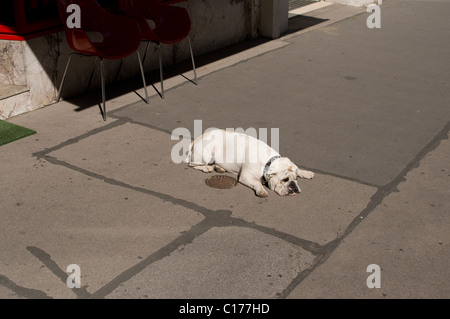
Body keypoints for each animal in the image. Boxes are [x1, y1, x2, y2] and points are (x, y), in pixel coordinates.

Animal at [183, 130, 312, 198]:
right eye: (284, 180)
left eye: (296, 179)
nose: (293, 185)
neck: (267, 162)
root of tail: (196, 139)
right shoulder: (246, 176)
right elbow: (257, 183)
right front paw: (261, 191)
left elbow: (298, 169)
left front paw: (305, 172)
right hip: (205, 155)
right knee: (192, 164)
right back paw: (206, 168)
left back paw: (219, 168)